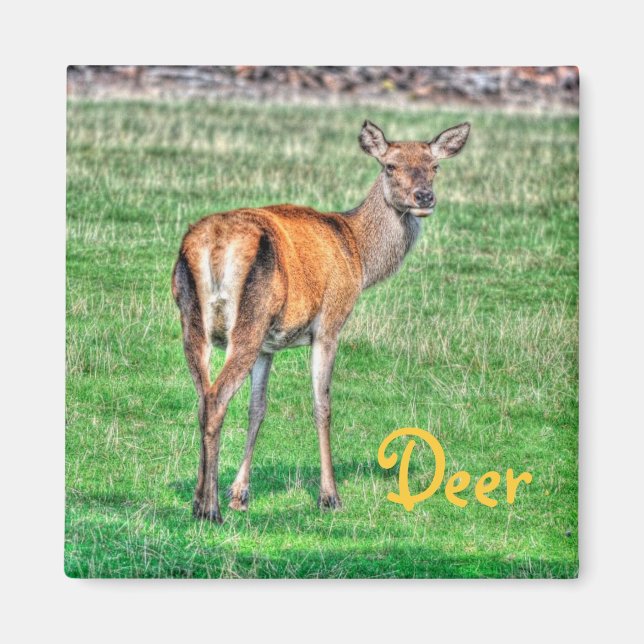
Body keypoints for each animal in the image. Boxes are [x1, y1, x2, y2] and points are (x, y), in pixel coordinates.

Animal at [172, 120, 470, 522]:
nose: (424, 197)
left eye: (434, 166)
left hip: (193, 320)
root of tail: (212, 245)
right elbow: (322, 405)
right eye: (390, 165)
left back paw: (198, 500)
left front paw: (241, 493)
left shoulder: (269, 345)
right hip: (248, 321)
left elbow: (257, 409)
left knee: (203, 398)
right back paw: (211, 509)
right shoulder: (331, 321)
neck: (359, 256)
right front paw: (330, 496)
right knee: (217, 398)